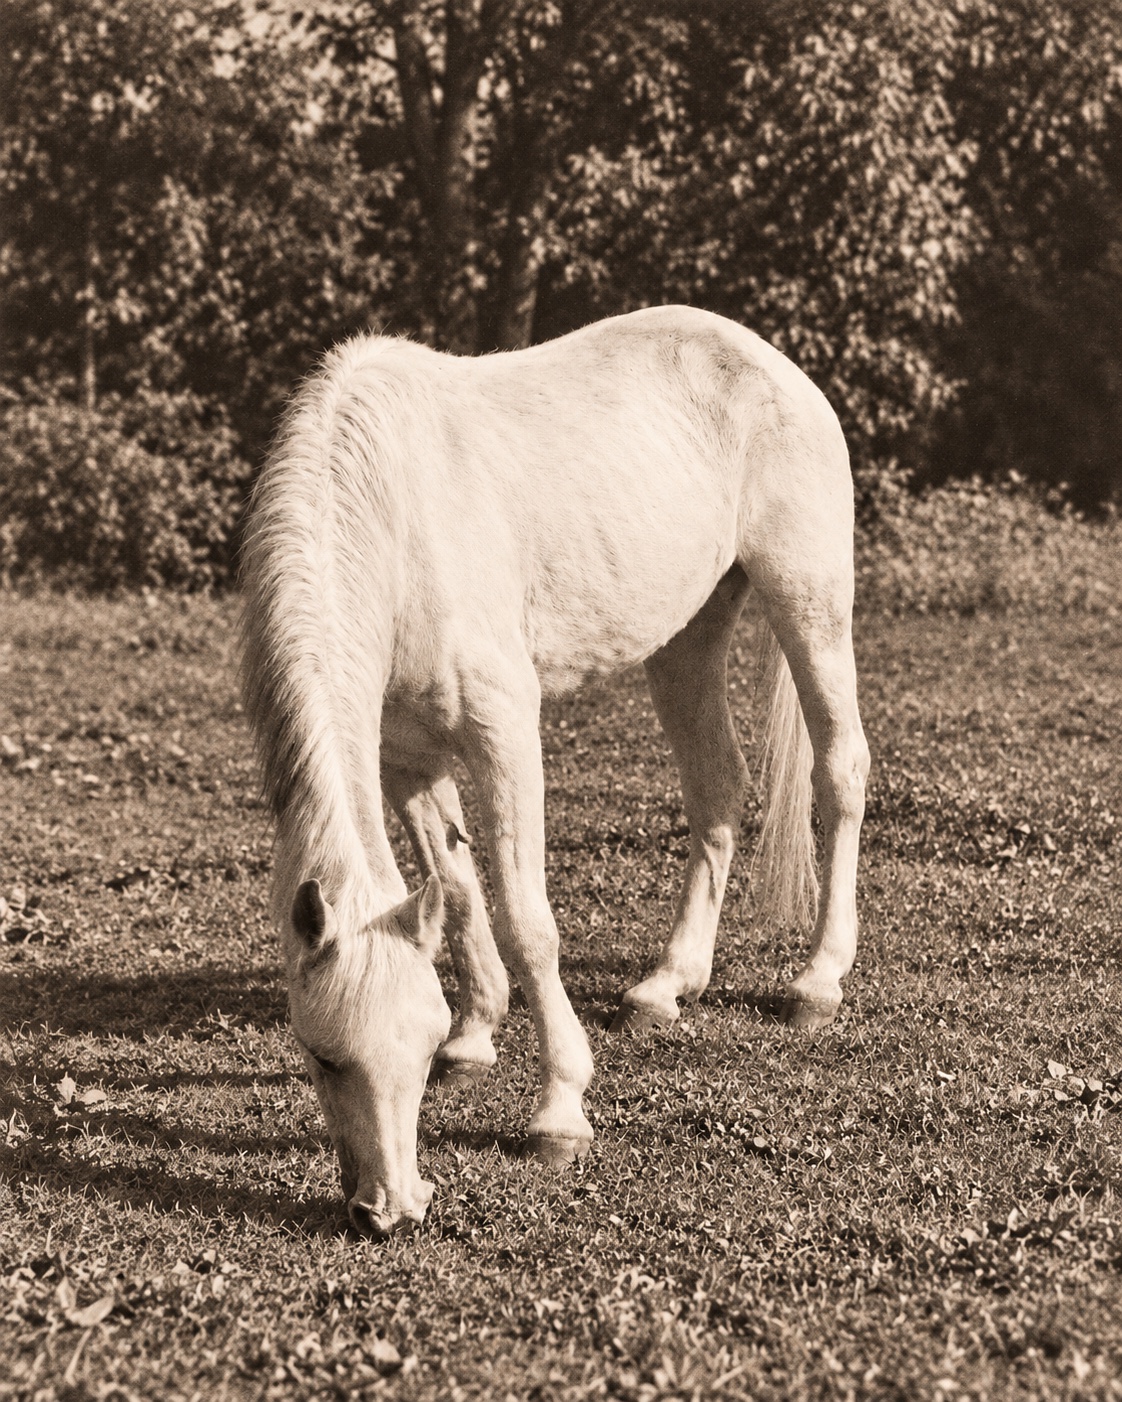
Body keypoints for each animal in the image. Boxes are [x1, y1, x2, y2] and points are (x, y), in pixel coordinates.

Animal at [239, 305, 870, 1238]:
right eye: (322, 1057)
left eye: (413, 1052)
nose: (389, 1211)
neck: (398, 520)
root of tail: (769, 361)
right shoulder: (406, 759)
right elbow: (460, 890)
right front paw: (477, 1036)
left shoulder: (505, 732)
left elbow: (526, 919)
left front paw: (559, 1113)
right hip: (687, 634)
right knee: (718, 788)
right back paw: (667, 985)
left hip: (809, 598)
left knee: (840, 772)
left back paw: (818, 980)